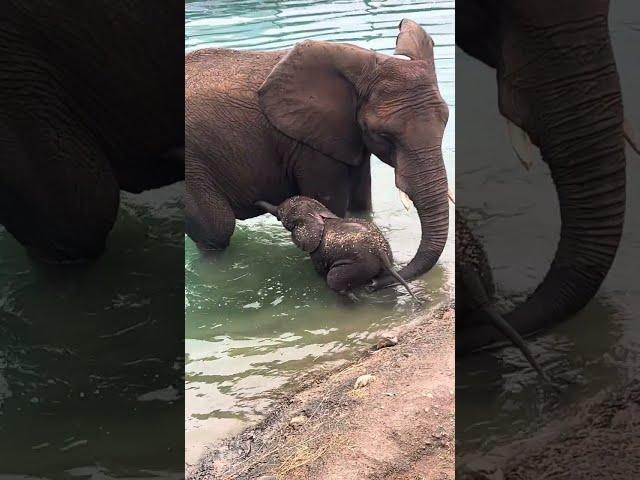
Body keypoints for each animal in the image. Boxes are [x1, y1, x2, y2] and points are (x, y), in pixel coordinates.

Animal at [186, 18, 450, 286]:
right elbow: (331, 204)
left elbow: (361, 202)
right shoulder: (309, 147)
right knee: (218, 229)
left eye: (446, 122)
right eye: (384, 135)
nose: (376, 282)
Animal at [256, 196, 420, 300]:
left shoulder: (318, 252)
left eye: (281, 214)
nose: (255, 201)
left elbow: (320, 271)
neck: (316, 212)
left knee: (332, 278)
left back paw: (352, 296)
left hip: (359, 265)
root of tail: (381, 254)